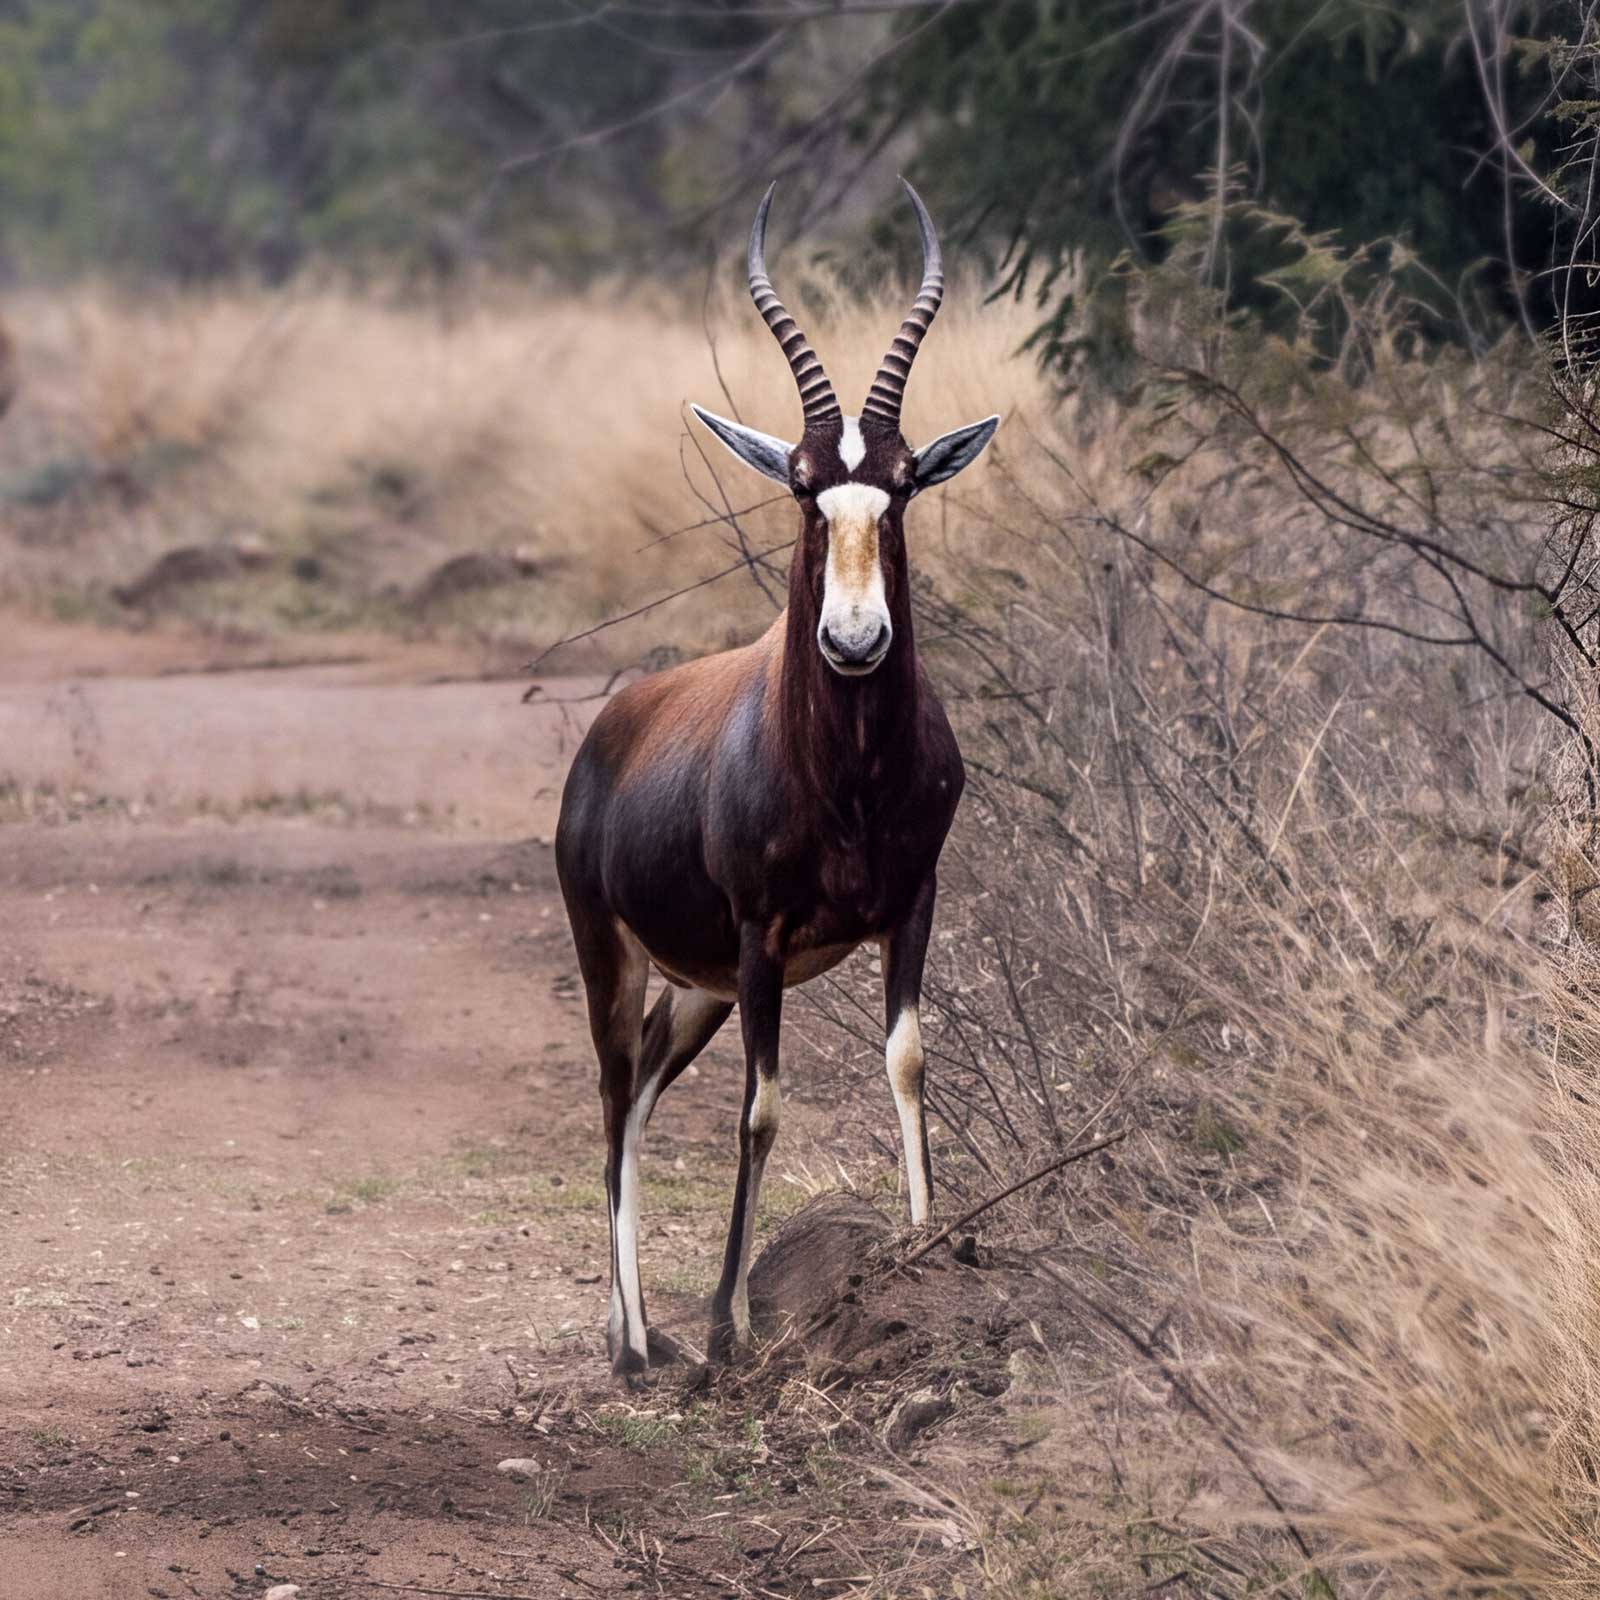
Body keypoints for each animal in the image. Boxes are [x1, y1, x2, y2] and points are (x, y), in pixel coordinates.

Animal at [555, 180, 998, 1378]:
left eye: (901, 486)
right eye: (804, 489)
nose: (853, 641)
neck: (845, 779)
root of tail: (609, 731)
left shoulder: (913, 901)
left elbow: (907, 1059)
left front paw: (925, 1248)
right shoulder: (762, 933)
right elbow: (761, 1111)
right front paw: (731, 1324)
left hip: (696, 986)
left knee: (644, 1091)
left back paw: (634, 1330)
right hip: (619, 955)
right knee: (611, 1098)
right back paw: (635, 1346)